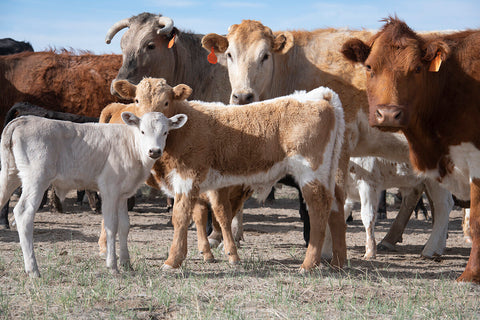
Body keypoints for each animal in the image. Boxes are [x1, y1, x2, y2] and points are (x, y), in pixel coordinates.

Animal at [0, 112, 188, 276]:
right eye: (142, 131)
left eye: (165, 132)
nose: (154, 151)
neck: (132, 146)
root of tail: (24, 119)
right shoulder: (109, 189)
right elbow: (111, 225)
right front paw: (113, 265)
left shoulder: (123, 194)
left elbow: (125, 226)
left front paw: (127, 263)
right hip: (36, 178)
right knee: (23, 213)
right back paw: (33, 269)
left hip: (9, 174)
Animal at [112, 77, 344, 270]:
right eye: (137, 100)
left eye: (166, 102)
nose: (151, 118)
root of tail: (319, 94)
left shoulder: (187, 178)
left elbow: (180, 216)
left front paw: (173, 260)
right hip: (330, 171)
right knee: (336, 207)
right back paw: (339, 262)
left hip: (311, 172)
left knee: (318, 209)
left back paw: (308, 264)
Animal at [342, 16, 480, 282]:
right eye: (369, 67)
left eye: (416, 69)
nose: (387, 114)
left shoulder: (369, 185)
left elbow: (367, 217)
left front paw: (369, 251)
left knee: (443, 206)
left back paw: (431, 248)